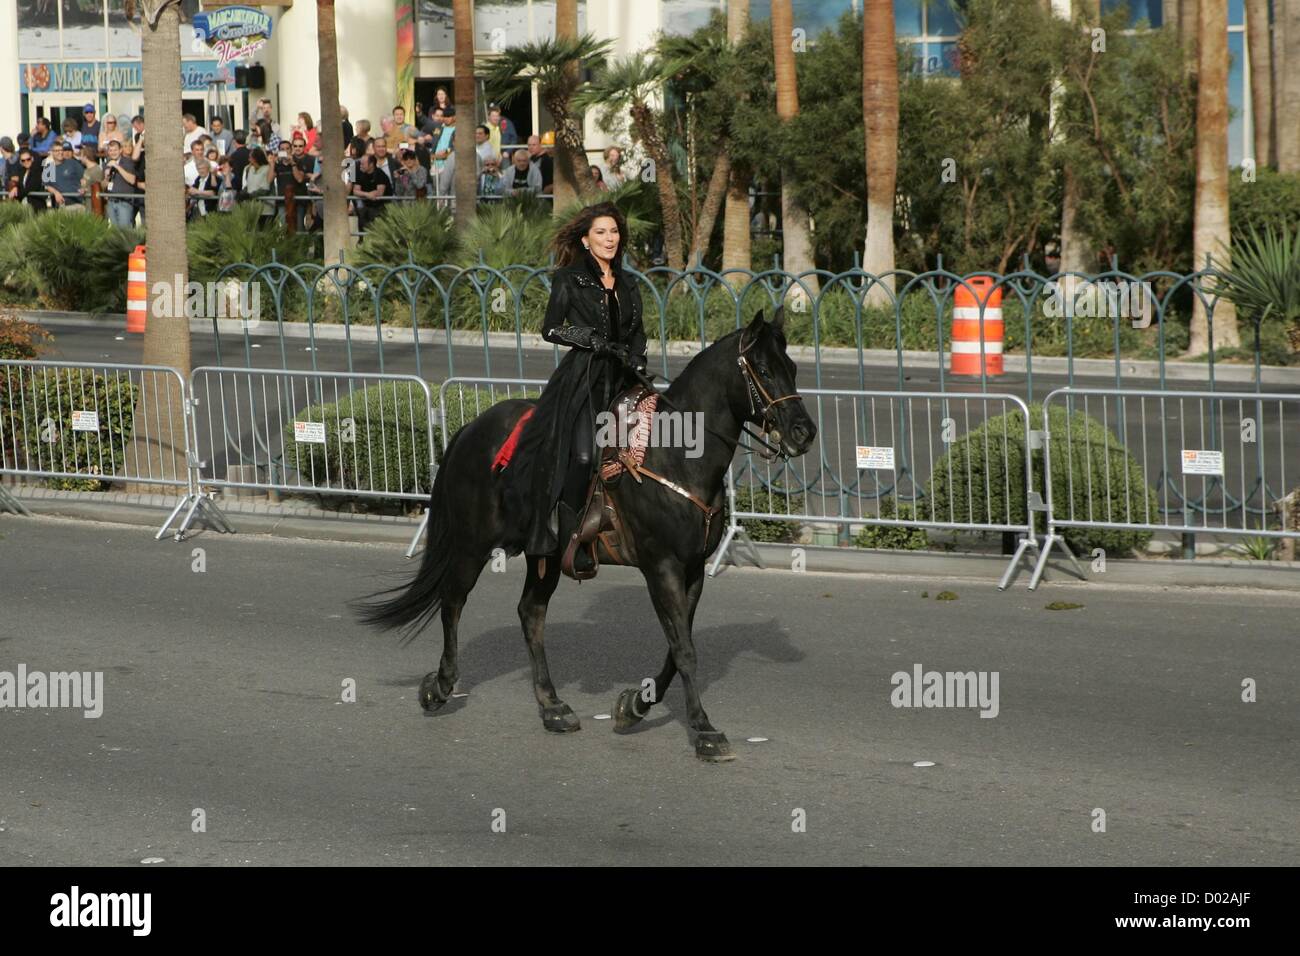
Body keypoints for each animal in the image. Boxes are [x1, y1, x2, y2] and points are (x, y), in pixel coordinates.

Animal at [356, 310, 811, 759]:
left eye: (791, 368)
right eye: (764, 370)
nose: (804, 432)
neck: (676, 455)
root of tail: (469, 429)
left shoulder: (693, 568)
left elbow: (676, 645)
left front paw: (634, 706)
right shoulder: (661, 566)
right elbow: (684, 648)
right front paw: (703, 730)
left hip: (546, 554)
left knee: (530, 613)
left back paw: (552, 706)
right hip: (472, 544)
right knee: (453, 601)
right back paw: (441, 686)